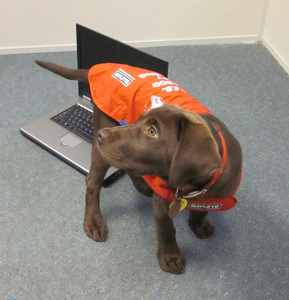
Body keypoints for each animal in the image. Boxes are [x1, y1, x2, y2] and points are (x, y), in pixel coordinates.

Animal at [35, 61, 241, 274]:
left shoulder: (215, 195)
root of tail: (103, 67)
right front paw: (170, 256)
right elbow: (166, 229)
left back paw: (142, 185)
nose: (101, 135)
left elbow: (202, 211)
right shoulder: (162, 203)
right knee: (92, 181)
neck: (194, 188)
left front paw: (198, 225)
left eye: (152, 131)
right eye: (141, 120)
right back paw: (93, 221)